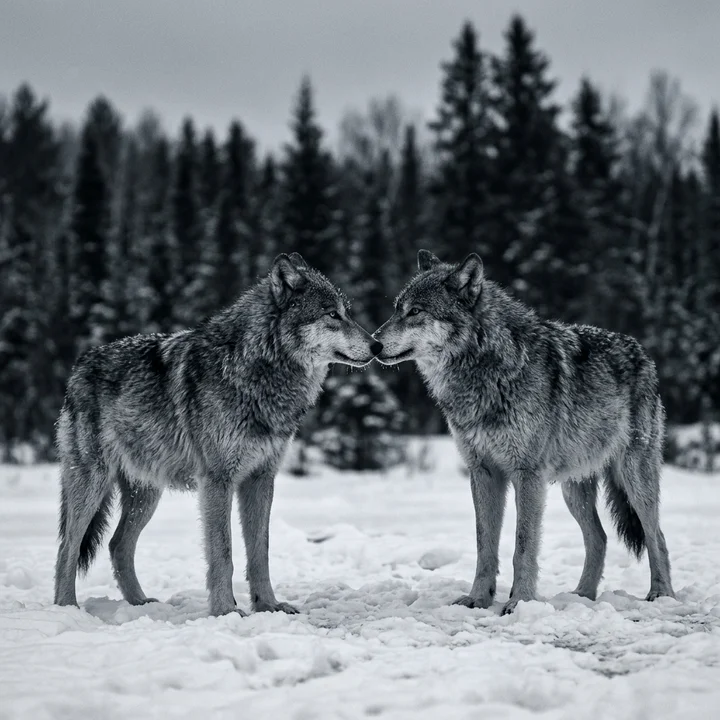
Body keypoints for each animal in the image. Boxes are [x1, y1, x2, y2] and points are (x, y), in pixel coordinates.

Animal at [54, 253, 382, 616]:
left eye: (347, 312)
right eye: (332, 314)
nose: (378, 344)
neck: (255, 370)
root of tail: (80, 364)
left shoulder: (261, 478)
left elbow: (260, 552)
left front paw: (269, 605)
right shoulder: (217, 480)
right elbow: (223, 553)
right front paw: (225, 610)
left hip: (146, 494)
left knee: (117, 544)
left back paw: (140, 602)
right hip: (93, 484)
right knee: (68, 547)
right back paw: (67, 607)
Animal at [373, 249, 674, 615]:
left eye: (415, 311)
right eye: (396, 309)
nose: (373, 344)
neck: (488, 369)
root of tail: (643, 353)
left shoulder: (526, 475)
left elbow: (523, 546)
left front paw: (520, 602)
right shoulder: (483, 472)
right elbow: (484, 545)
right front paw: (478, 598)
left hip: (634, 478)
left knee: (656, 536)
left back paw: (661, 595)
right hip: (573, 489)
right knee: (599, 538)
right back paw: (581, 595)